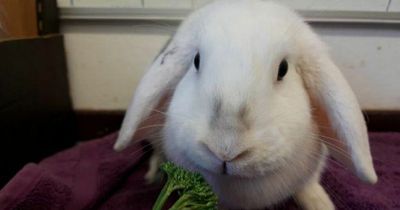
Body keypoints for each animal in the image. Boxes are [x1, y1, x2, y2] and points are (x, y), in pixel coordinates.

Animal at [113, 0, 378, 209]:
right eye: (196, 61)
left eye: (283, 69)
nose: (225, 149)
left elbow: (307, 186)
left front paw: (322, 204)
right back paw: (152, 175)